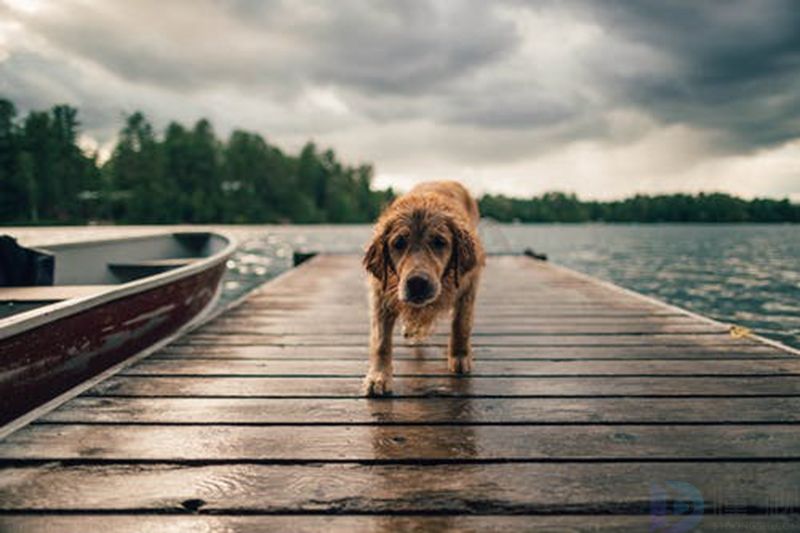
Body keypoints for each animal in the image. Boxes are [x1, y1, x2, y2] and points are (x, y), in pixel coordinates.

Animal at [364, 182, 488, 394]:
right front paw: (378, 377)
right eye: (398, 243)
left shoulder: (468, 284)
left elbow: (461, 324)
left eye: (440, 242)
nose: (417, 283)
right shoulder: (381, 293)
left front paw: (460, 356)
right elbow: (381, 341)